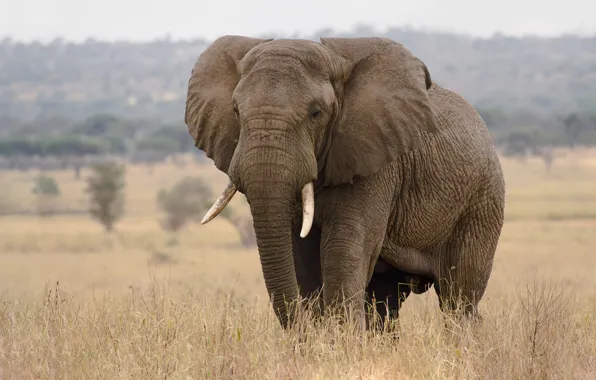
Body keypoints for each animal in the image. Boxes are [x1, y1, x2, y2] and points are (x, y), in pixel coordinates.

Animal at [184, 36, 506, 332]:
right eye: (236, 111)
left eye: (316, 113)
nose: (300, 334)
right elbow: (299, 254)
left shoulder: (376, 161)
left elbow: (344, 248)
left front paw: (339, 339)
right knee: (385, 301)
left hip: (483, 200)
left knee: (459, 297)